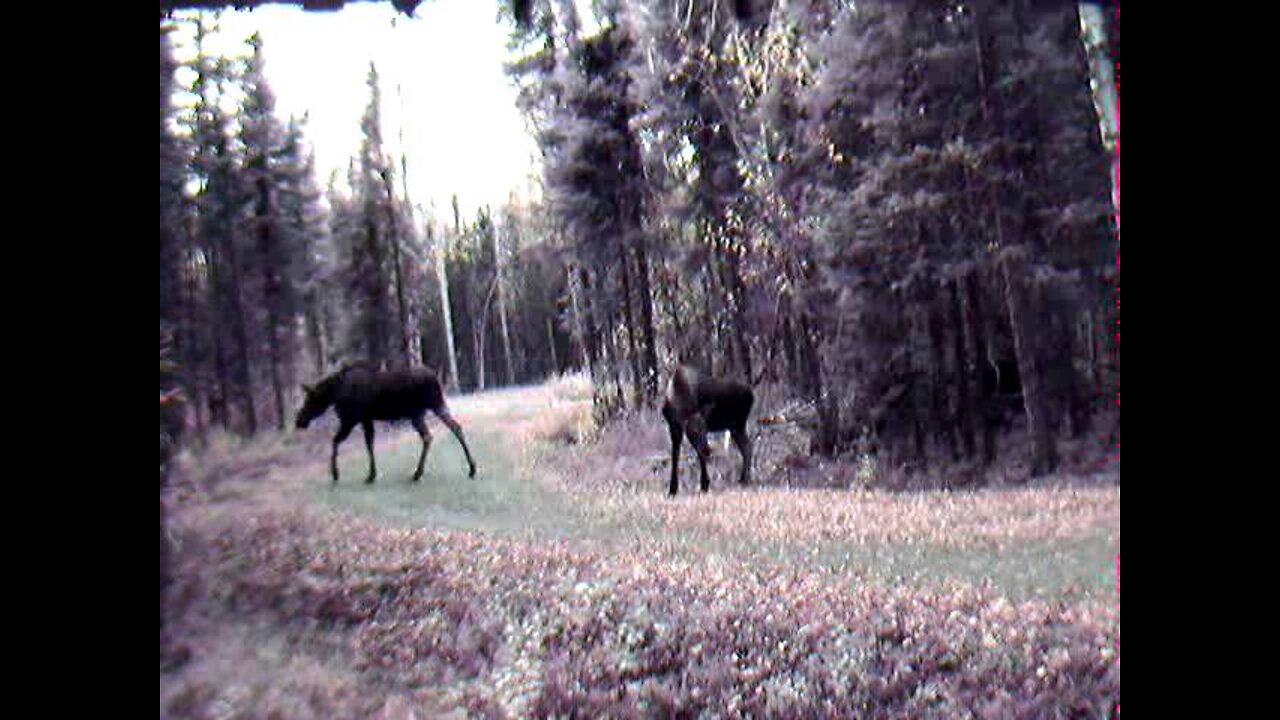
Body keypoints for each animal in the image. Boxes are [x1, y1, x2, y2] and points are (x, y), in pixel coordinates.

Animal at [293, 363, 478, 481]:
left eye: (308, 400)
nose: (299, 420)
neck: (334, 393)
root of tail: (436, 379)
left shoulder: (351, 418)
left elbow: (337, 441)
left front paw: (336, 473)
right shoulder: (366, 419)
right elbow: (369, 444)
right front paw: (372, 474)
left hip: (424, 409)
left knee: (432, 435)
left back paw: (418, 473)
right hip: (430, 407)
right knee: (451, 428)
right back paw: (471, 468)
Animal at [665, 363, 752, 491]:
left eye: (705, 427)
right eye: (693, 431)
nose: (708, 450)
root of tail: (751, 395)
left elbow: (698, 454)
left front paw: (704, 484)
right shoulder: (675, 427)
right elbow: (675, 455)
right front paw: (673, 489)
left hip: (738, 424)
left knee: (747, 447)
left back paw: (744, 479)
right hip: (735, 426)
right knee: (747, 447)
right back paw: (744, 479)